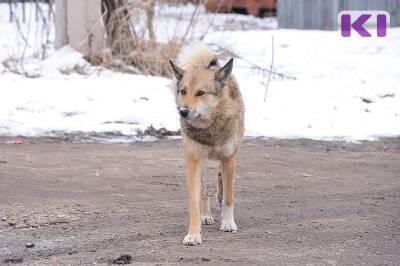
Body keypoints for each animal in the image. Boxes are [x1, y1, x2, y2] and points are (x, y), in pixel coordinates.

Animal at [168, 43, 244, 245]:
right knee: (203, 191)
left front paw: (228, 223)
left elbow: (229, 197)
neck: (209, 126)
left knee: (221, 178)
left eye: (201, 93)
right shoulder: (194, 161)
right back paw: (206, 215)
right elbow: (194, 202)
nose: (183, 112)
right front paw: (194, 234)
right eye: (183, 91)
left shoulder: (229, 157)